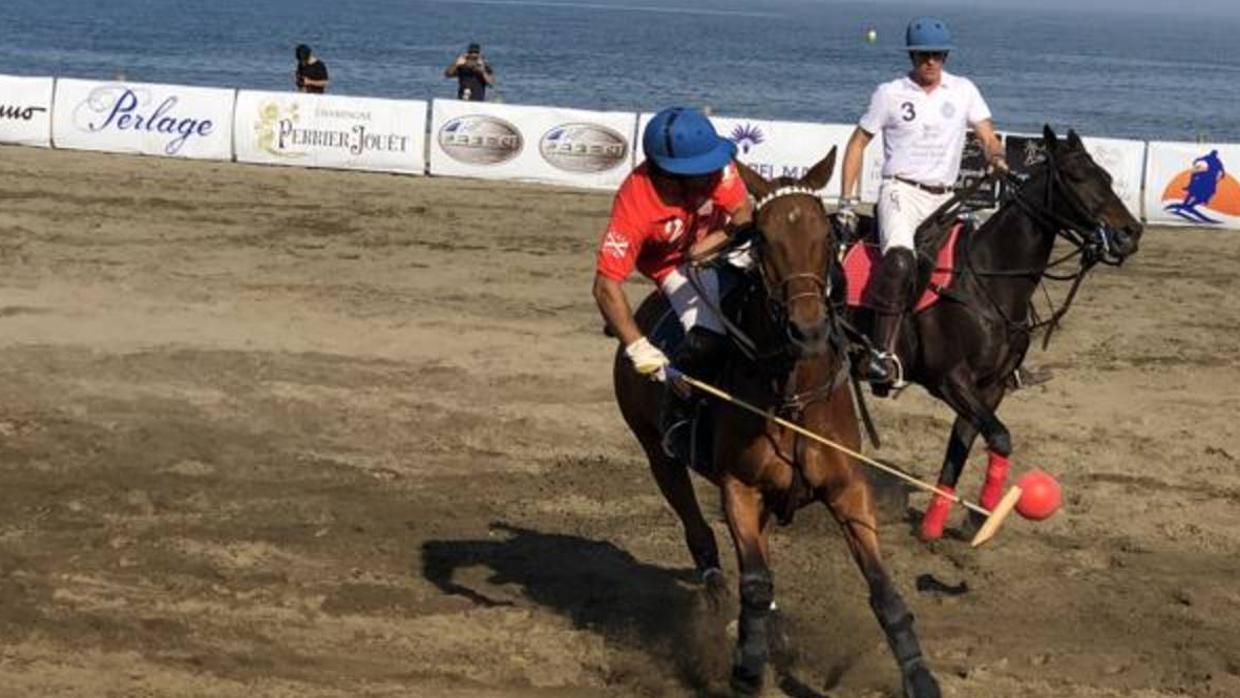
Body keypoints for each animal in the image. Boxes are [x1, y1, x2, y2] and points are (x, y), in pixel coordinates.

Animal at [610, 148, 937, 698]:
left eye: (827, 234)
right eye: (762, 238)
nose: (808, 330)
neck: (793, 396)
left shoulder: (848, 489)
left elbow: (882, 587)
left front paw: (920, 675)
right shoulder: (739, 489)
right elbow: (756, 583)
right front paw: (746, 667)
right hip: (657, 452)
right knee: (703, 538)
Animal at [853, 127, 1140, 540]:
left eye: (1107, 176)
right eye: (1075, 177)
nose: (1130, 233)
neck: (988, 278)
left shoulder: (991, 386)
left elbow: (966, 447)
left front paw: (942, 524)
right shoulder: (950, 379)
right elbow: (1001, 437)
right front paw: (982, 517)